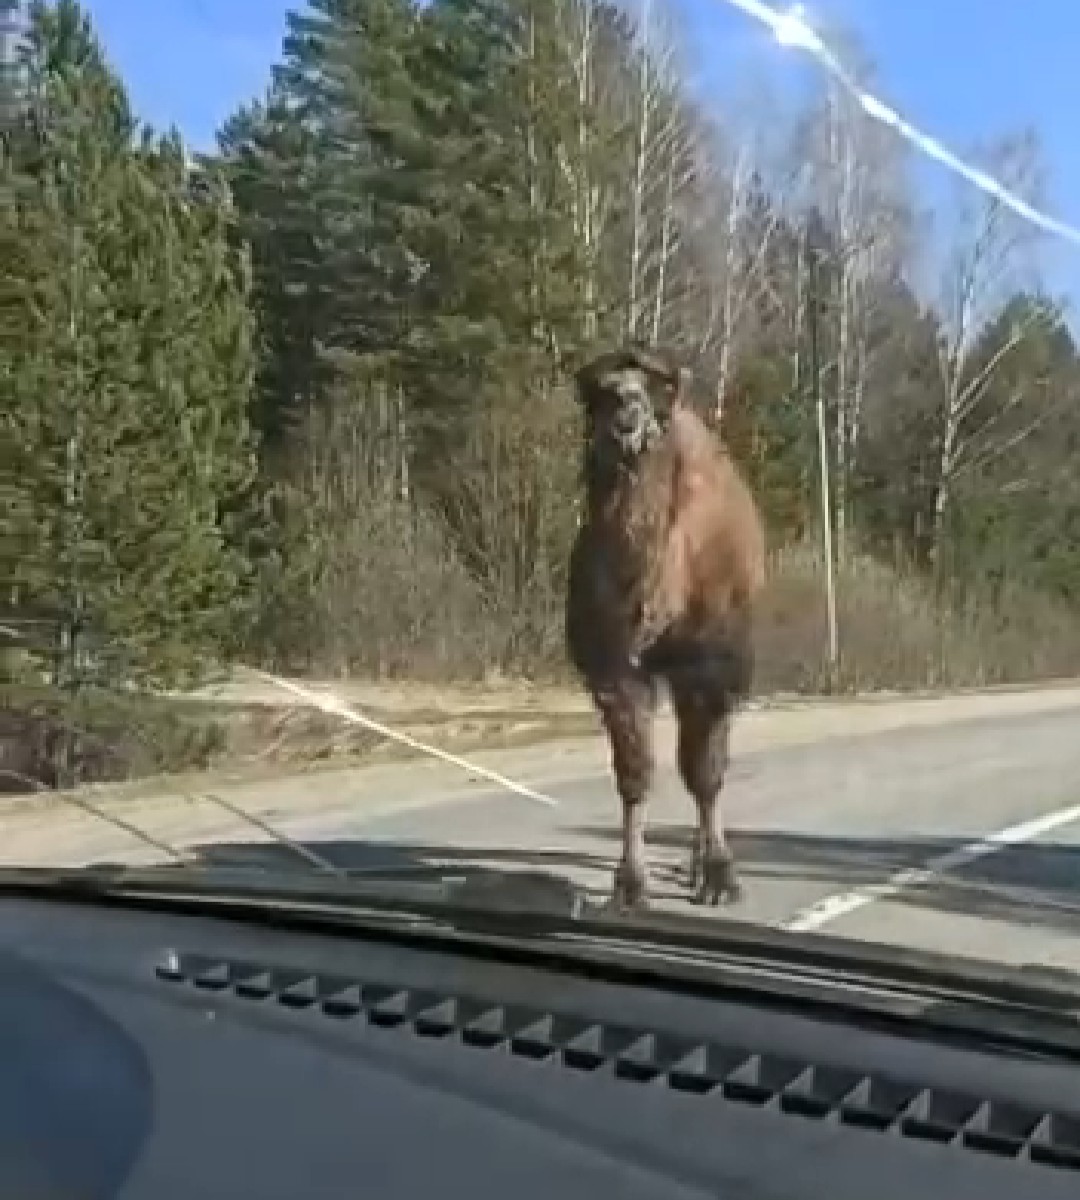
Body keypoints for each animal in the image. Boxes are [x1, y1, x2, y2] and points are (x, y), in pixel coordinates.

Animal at [565, 345, 766, 910]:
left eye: (653, 392)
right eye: (600, 393)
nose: (626, 417)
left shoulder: (710, 665)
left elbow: (705, 772)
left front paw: (720, 876)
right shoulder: (614, 668)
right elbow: (635, 773)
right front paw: (629, 885)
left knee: (706, 756)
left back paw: (699, 862)